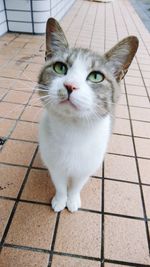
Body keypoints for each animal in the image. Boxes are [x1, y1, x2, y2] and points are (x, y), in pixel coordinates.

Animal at [38, 17, 139, 213]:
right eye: (60, 67)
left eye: (96, 77)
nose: (70, 85)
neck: (72, 131)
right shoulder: (55, 165)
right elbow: (60, 185)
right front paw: (60, 200)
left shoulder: (87, 167)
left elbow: (76, 185)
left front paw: (72, 200)